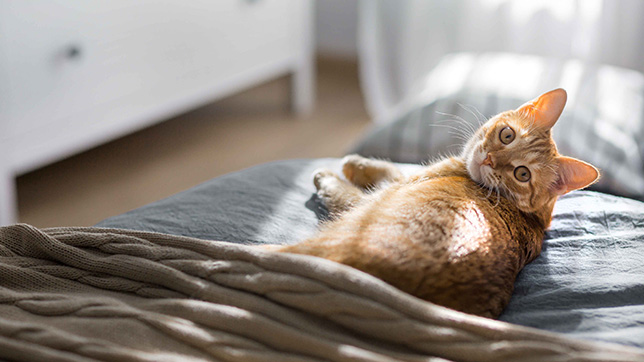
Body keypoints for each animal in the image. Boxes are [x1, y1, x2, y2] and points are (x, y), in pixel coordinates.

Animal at [276, 88, 600, 316]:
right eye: (507, 135)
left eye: (522, 174)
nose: (490, 159)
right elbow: (392, 169)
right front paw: (359, 162)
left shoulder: (379, 195)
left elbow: (361, 187)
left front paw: (339, 170)